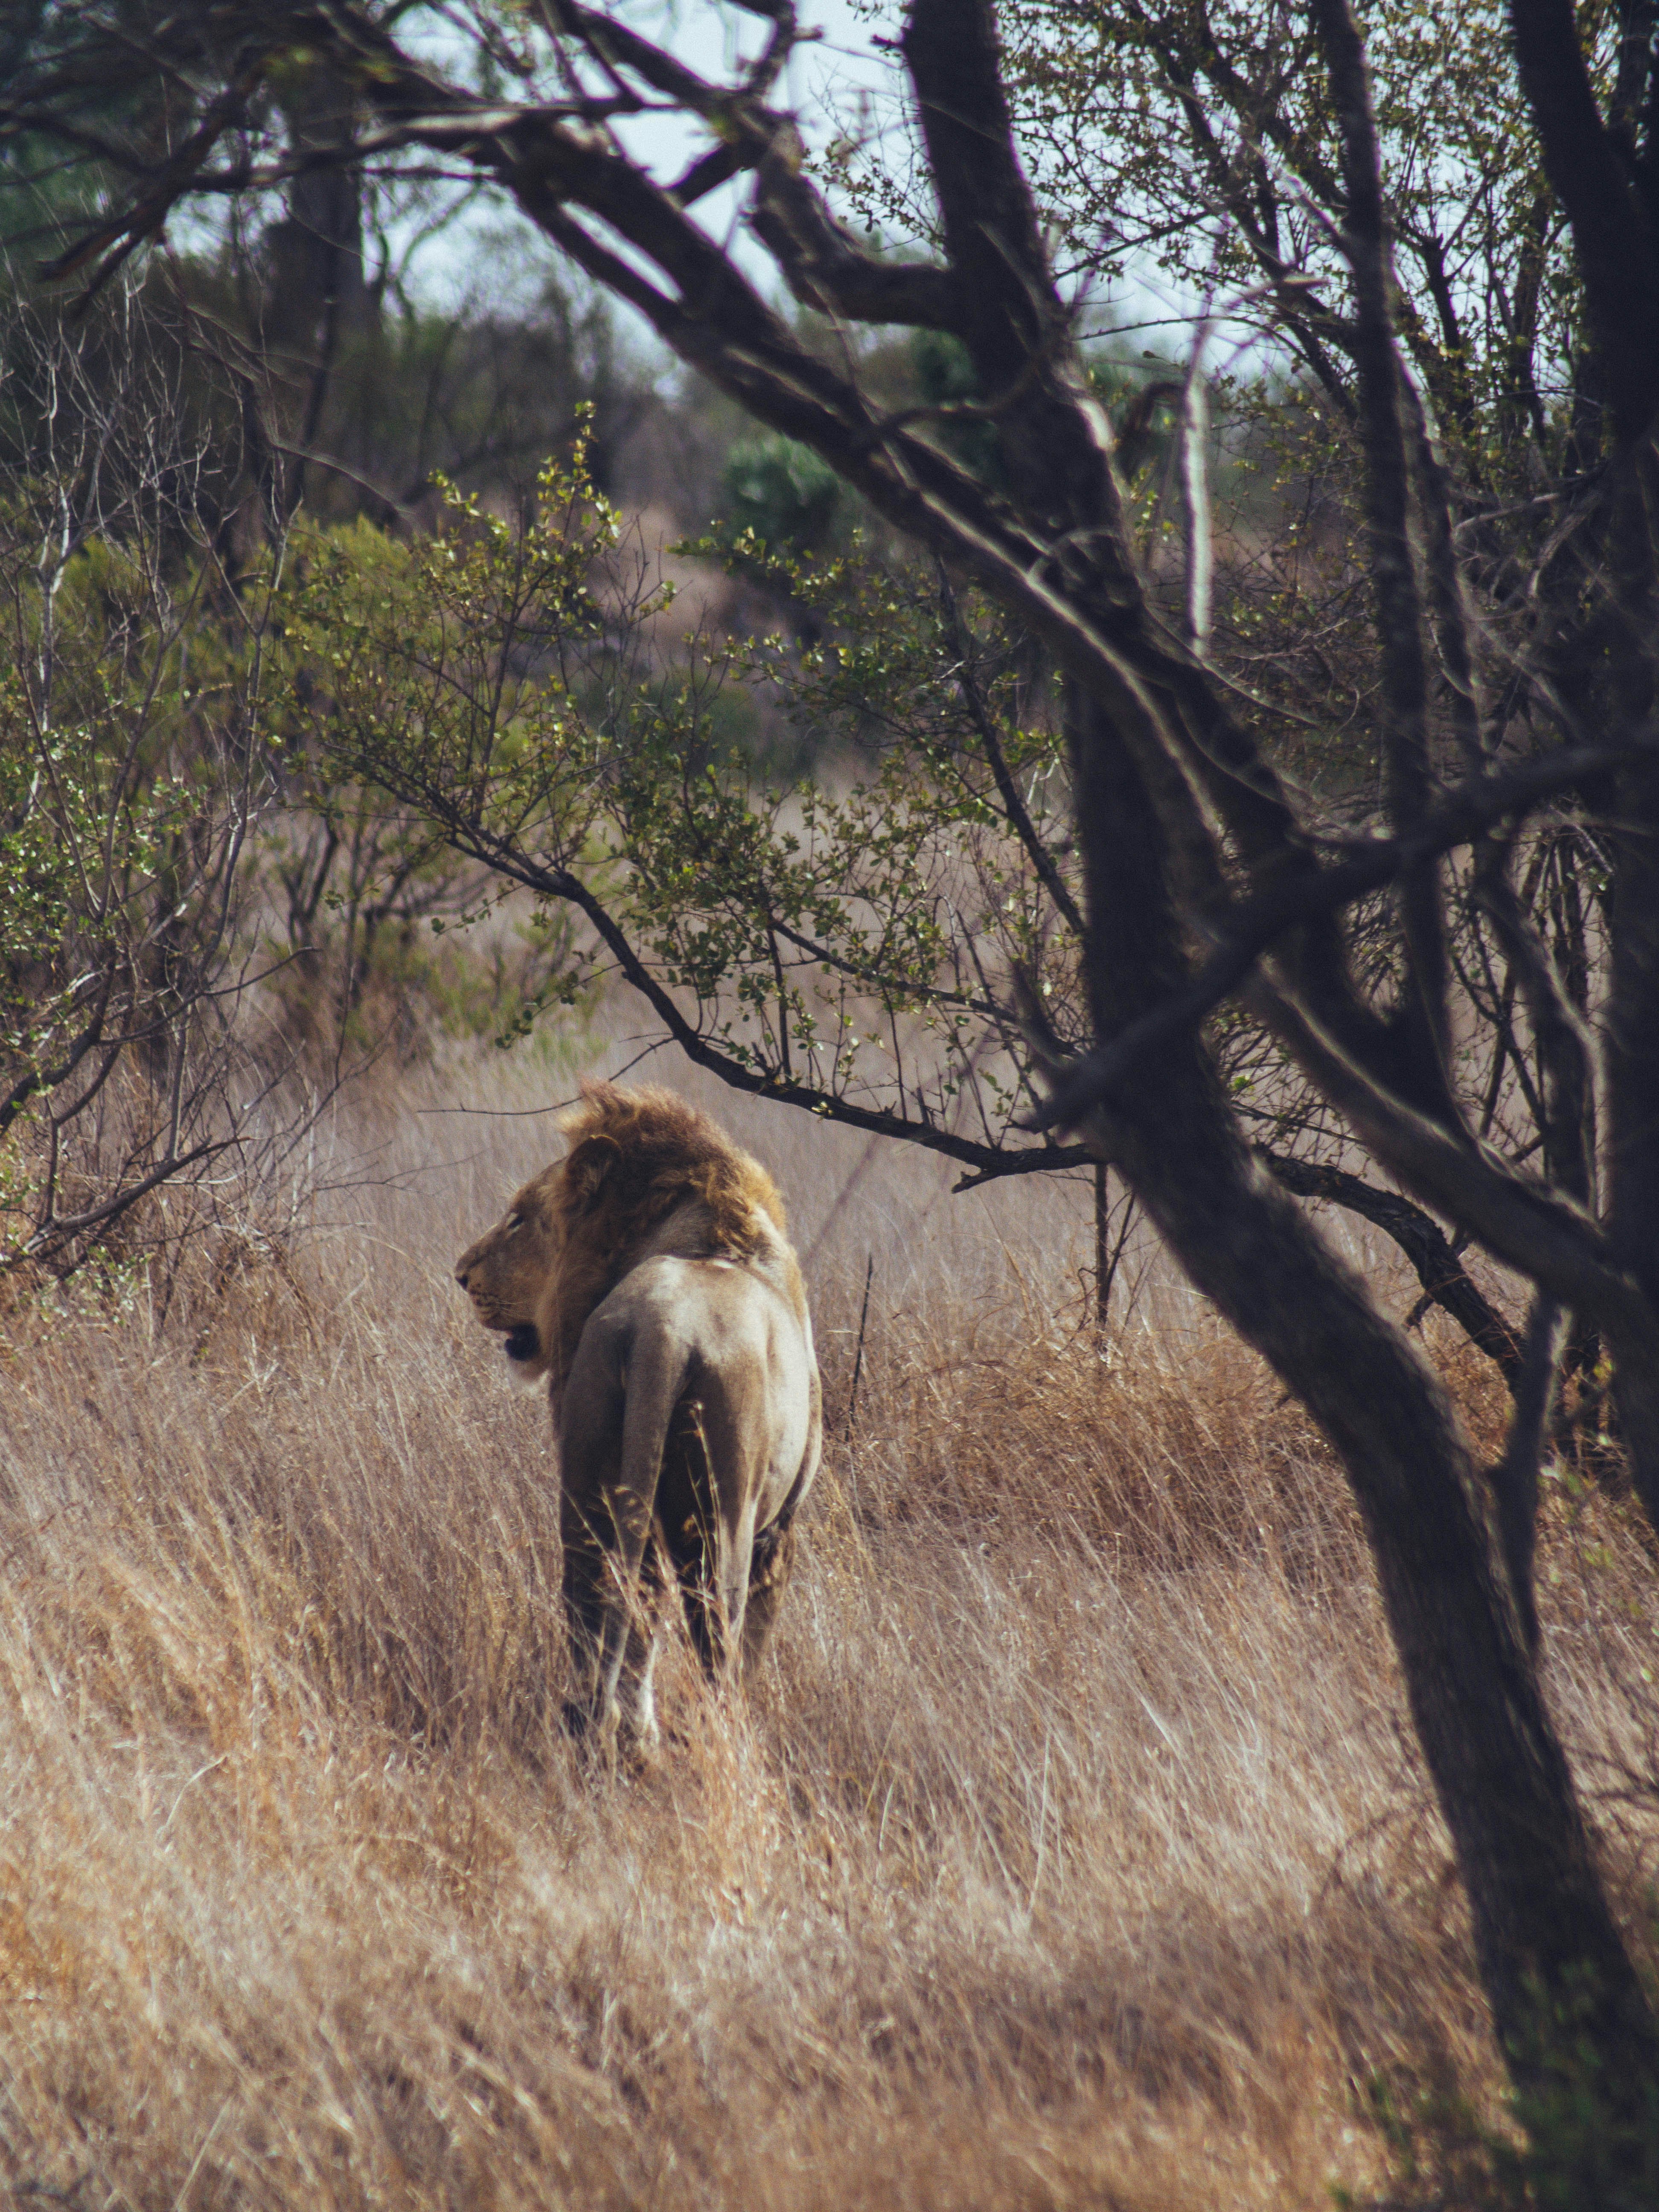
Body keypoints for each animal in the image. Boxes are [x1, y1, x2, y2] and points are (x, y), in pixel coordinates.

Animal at [454, 1081, 822, 1755]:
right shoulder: (780, 1528)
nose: (460, 1275)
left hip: (587, 1486)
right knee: (715, 1642)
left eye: (519, 1218)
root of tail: (665, 1333)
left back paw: (611, 1732)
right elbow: (755, 1643)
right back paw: (711, 1741)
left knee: (601, 1606)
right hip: (721, 1519)